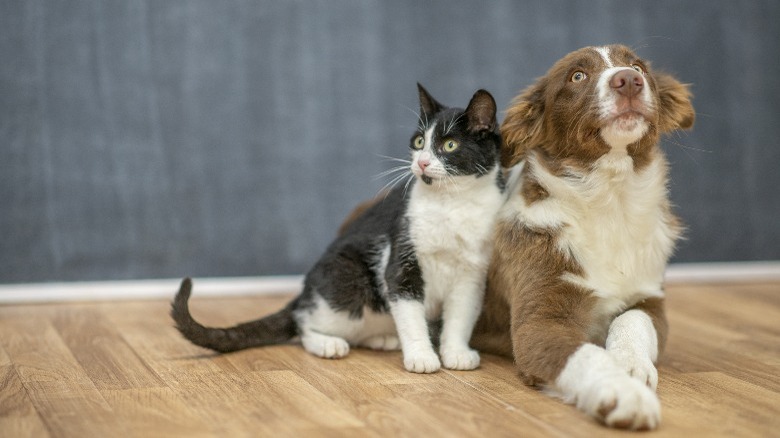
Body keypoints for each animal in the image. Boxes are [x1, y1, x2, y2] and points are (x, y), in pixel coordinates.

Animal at [169, 84, 506, 372]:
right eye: (420, 141)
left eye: (450, 145)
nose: (421, 162)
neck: (452, 203)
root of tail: (305, 290)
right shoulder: (401, 258)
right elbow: (410, 313)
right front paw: (422, 357)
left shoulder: (472, 273)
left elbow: (461, 316)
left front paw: (456, 353)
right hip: (348, 280)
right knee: (303, 321)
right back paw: (328, 344)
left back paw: (382, 338)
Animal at [470, 45, 696, 432]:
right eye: (577, 76)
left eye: (638, 67)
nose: (628, 80)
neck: (609, 200)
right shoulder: (540, 323)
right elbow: (585, 354)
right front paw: (623, 392)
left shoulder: (650, 300)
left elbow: (631, 321)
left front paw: (630, 364)